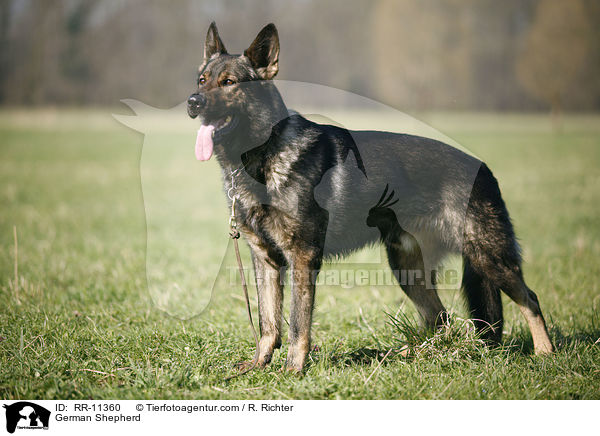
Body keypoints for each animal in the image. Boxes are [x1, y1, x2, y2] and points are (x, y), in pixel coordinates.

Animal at [188, 23, 552, 372]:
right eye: (202, 80)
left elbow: (297, 325)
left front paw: (292, 370)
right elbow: (268, 324)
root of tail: (484, 169)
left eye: (229, 82)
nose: (193, 102)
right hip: (409, 269)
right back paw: (409, 355)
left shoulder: (302, 257)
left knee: (530, 299)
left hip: (487, 257)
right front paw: (258, 364)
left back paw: (545, 353)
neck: (264, 153)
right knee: (440, 319)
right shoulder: (266, 261)